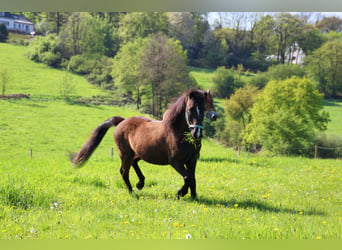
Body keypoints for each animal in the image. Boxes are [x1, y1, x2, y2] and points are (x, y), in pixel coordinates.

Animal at [71, 89, 218, 198]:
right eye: (190, 109)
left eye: (202, 109)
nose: (197, 133)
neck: (177, 132)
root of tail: (121, 122)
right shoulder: (175, 162)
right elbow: (188, 177)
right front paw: (180, 193)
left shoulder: (192, 160)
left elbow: (192, 178)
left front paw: (193, 196)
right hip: (125, 154)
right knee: (124, 171)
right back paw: (132, 192)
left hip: (137, 153)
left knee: (134, 164)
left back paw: (140, 183)